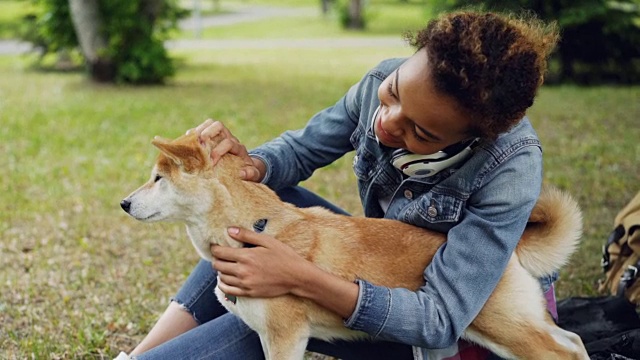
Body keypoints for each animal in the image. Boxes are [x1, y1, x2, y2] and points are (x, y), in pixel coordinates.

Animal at [120, 134, 592, 360]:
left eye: (158, 178)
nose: (123, 203)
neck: (255, 229)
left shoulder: (286, 339)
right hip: (522, 324)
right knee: (572, 339)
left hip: (505, 331)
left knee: (563, 350)